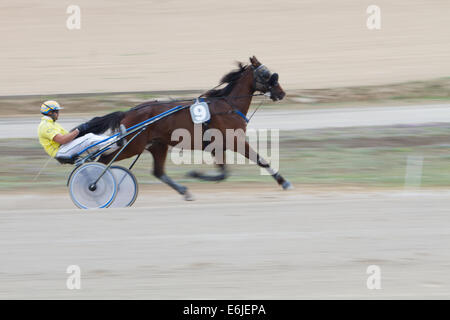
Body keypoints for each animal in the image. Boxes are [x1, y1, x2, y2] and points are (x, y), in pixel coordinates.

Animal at [81, 55, 292, 200]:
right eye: (266, 74)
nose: (281, 93)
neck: (228, 106)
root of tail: (128, 112)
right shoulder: (234, 141)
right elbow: (260, 161)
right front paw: (284, 182)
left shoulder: (218, 146)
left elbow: (224, 172)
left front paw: (196, 174)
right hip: (134, 145)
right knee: (103, 159)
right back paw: (93, 184)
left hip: (157, 145)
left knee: (158, 172)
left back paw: (183, 191)